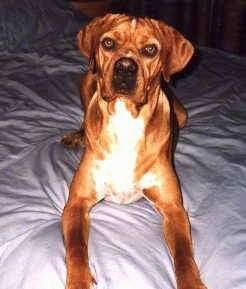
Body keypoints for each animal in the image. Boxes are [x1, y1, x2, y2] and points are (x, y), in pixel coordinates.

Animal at [62, 12, 208, 288]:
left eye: (150, 49)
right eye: (108, 43)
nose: (125, 68)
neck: (125, 118)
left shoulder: (173, 208)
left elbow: (183, 253)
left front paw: (191, 282)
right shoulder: (76, 203)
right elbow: (76, 247)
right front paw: (78, 280)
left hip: (182, 115)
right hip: (88, 79)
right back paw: (78, 135)